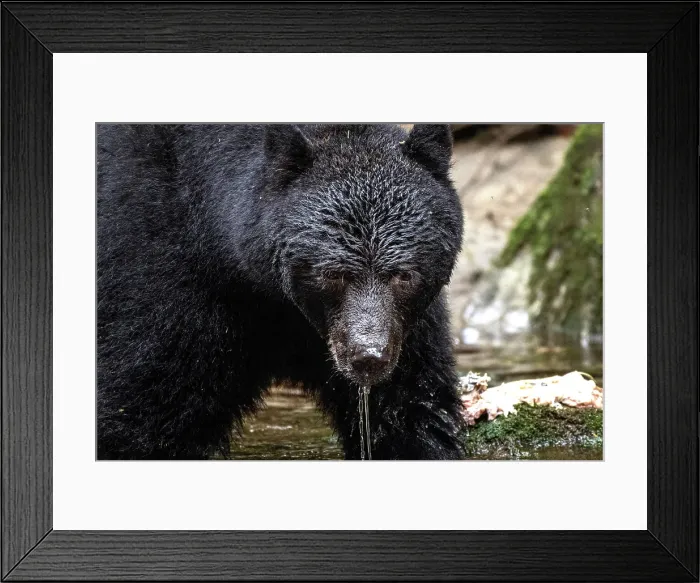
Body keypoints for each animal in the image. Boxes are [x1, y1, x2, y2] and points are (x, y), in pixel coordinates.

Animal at [97, 123, 466, 460]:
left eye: (404, 275)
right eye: (332, 273)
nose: (368, 357)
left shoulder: (405, 325)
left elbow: (411, 406)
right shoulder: (160, 268)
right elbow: (148, 408)